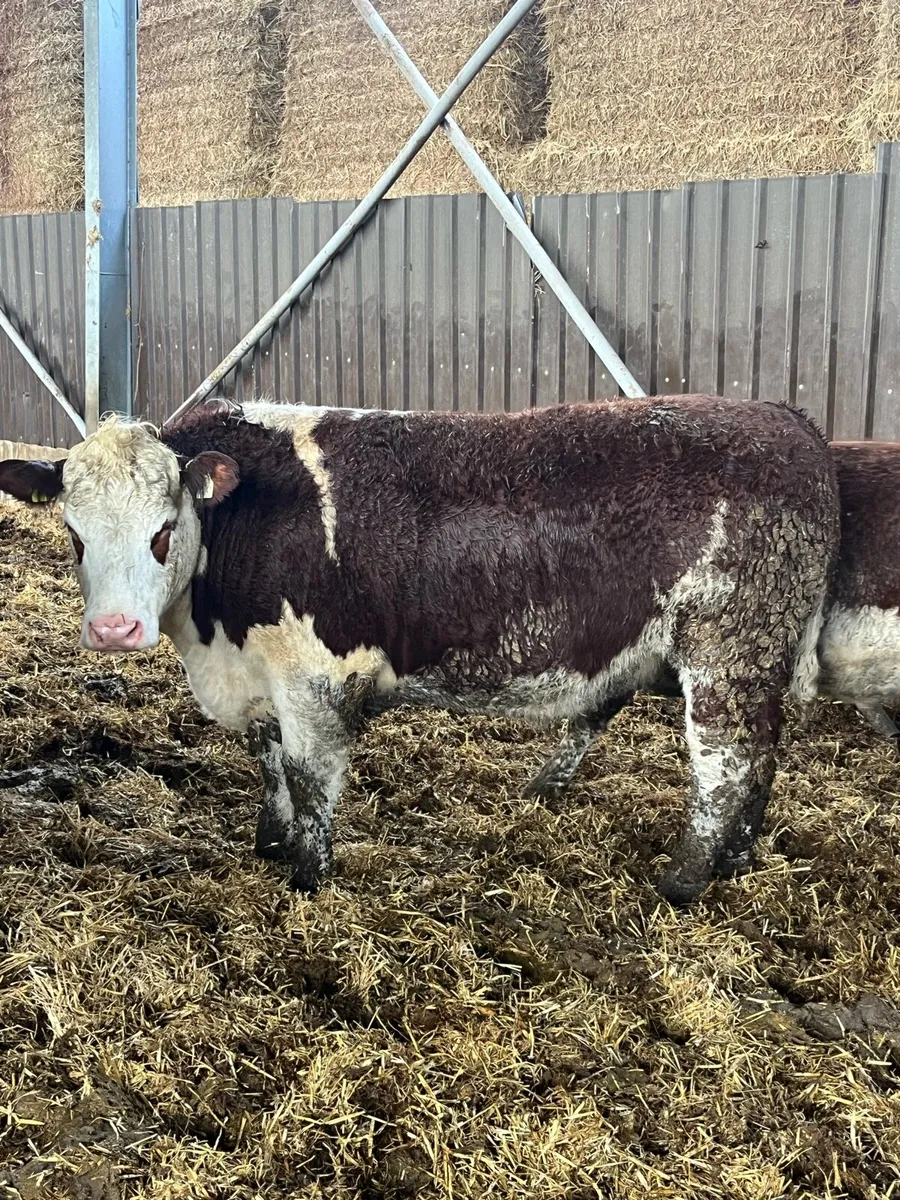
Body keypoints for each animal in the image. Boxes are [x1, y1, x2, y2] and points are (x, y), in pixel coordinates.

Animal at [0, 396, 839, 904]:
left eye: (164, 530)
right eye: (73, 533)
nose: (114, 630)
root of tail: (785, 419)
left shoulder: (316, 680)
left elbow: (309, 780)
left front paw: (308, 879)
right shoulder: (265, 680)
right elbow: (270, 764)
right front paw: (270, 842)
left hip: (725, 654)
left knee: (725, 767)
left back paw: (684, 879)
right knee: (761, 762)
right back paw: (735, 862)